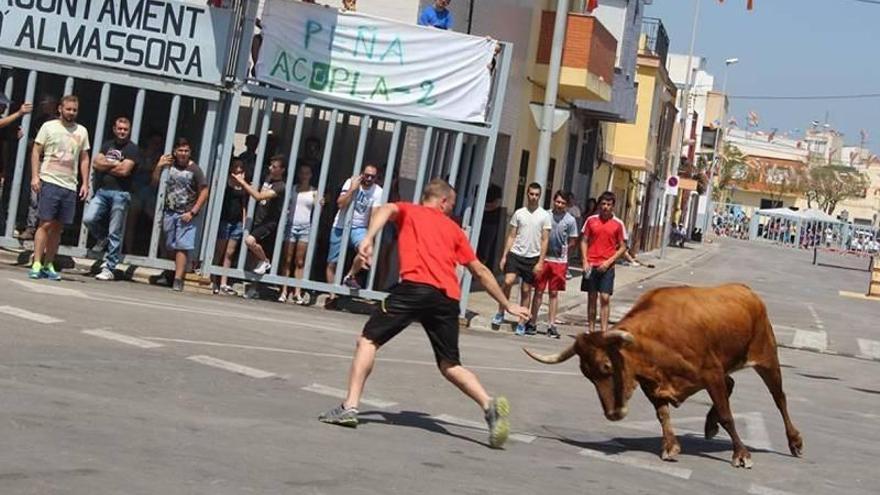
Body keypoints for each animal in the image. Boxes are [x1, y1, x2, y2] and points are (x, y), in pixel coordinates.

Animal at [524, 284, 804, 466]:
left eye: (606, 367)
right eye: (586, 374)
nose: (612, 414)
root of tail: (748, 292)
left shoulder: (711, 374)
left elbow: (728, 415)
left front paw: (741, 454)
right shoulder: (653, 384)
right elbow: (663, 415)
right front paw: (670, 446)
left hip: (767, 357)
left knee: (779, 398)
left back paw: (795, 442)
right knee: (732, 382)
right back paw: (709, 424)